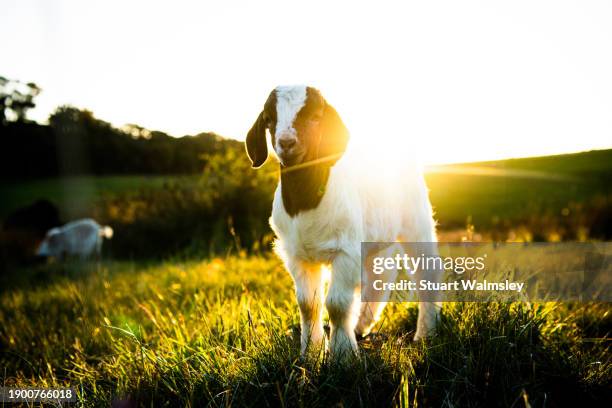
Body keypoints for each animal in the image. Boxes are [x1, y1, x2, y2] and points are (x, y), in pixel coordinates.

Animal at [244, 85, 440, 360]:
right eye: (269, 119)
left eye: (316, 116)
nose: (286, 142)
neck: (306, 198)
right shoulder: (298, 256)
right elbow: (308, 304)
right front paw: (311, 353)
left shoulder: (346, 251)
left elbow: (336, 303)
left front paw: (343, 356)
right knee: (379, 276)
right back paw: (361, 326)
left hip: (416, 223)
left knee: (426, 272)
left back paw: (425, 333)